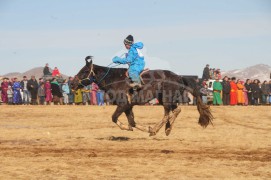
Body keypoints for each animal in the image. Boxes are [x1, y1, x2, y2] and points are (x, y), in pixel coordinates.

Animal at [71, 57, 214, 136]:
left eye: (84, 70)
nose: (72, 83)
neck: (116, 79)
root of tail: (180, 77)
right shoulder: (128, 106)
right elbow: (132, 122)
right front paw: (145, 128)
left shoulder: (123, 105)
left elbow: (114, 118)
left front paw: (136, 128)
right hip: (166, 99)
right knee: (175, 110)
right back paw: (167, 129)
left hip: (166, 99)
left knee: (168, 113)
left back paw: (157, 129)